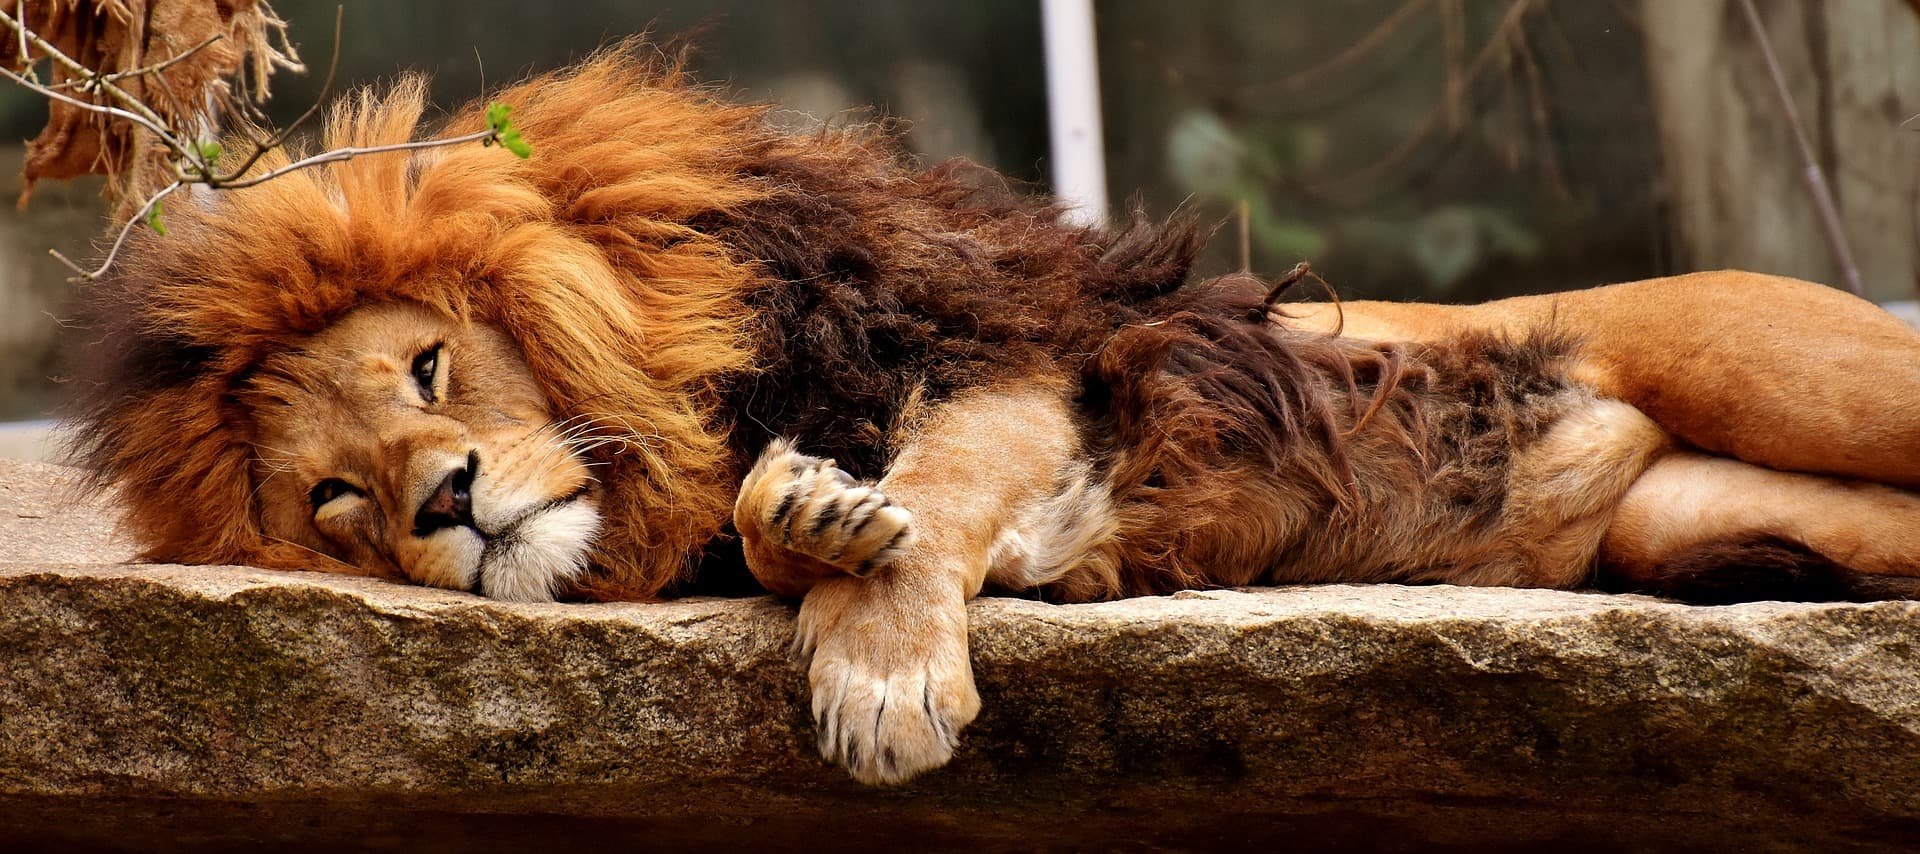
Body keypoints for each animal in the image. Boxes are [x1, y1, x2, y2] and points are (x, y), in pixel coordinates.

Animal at [67, 47, 1920, 786]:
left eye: (430, 373)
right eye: (332, 501)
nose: (446, 502)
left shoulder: (1030, 364)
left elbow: (939, 490)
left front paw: (879, 668)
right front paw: (807, 514)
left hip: (1797, 374)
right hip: (1695, 519)